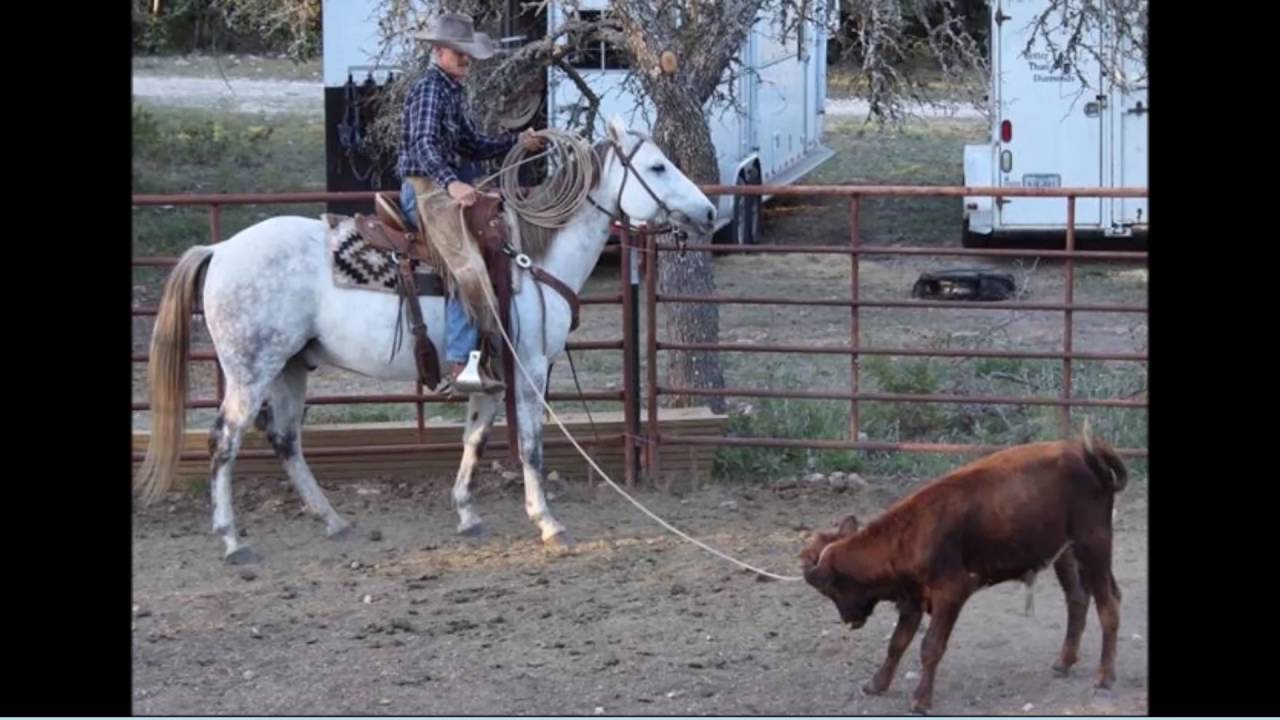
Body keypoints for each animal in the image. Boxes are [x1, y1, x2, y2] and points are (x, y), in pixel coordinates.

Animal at [799, 421, 1128, 713]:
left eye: (830, 590)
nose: (848, 620)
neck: (908, 536)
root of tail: (1085, 454)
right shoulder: (912, 598)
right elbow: (897, 643)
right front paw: (876, 684)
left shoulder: (951, 592)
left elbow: (930, 646)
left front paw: (921, 700)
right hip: (1066, 553)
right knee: (1078, 599)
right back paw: (1064, 662)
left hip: (1094, 544)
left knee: (1108, 605)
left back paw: (1104, 677)